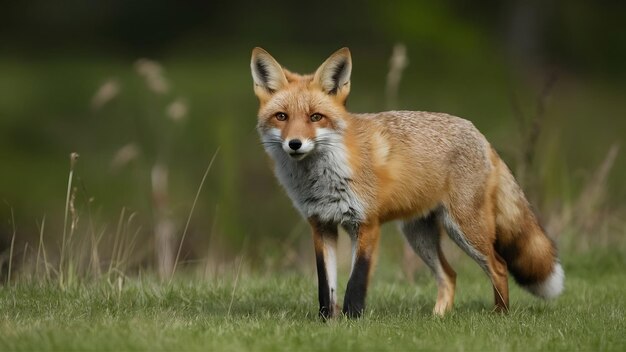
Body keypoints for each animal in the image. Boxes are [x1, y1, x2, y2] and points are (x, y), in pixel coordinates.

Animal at [250, 46, 564, 320]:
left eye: (315, 117)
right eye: (281, 117)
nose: (295, 144)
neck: (323, 179)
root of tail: (480, 135)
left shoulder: (366, 225)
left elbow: (356, 283)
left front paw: (352, 322)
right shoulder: (321, 225)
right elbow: (325, 288)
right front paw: (327, 322)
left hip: (465, 229)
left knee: (499, 266)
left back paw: (500, 315)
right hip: (418, 235)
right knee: (450, 275)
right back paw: (438, 318)